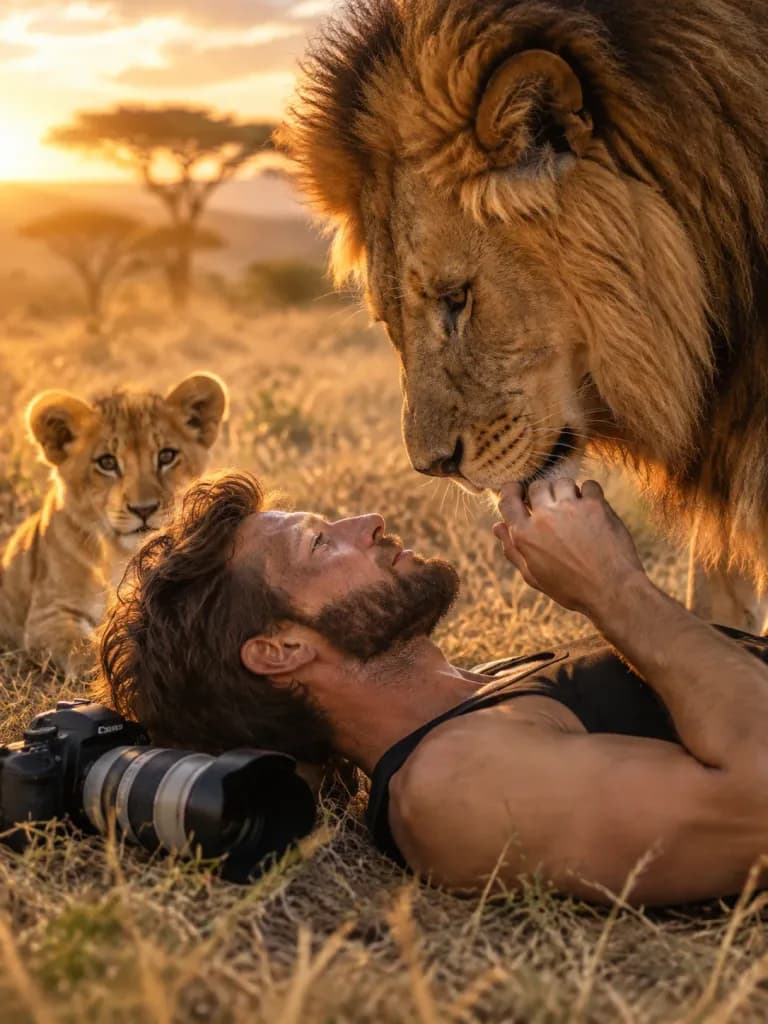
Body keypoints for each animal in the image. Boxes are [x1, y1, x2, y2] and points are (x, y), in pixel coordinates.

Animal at [0, 372, 228, 676]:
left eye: (166, 456)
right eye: (107, 462)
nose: (143, 509)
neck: (123, 555)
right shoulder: (48, 615)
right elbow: (84, 649)